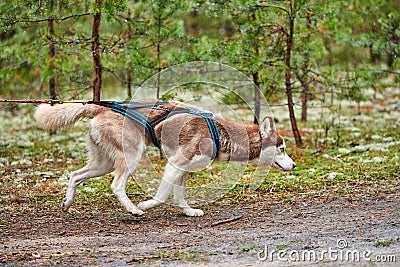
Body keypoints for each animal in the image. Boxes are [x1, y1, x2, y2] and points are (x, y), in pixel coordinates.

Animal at [36, 100, 296, 218]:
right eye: (282, 148)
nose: (294, 164)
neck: (220, 133)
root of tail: (99, 107)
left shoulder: (183, 170)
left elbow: (179, 196)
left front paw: (188, 212)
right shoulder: (175, 164)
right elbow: (161, 196)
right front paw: (145, 205)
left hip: (103, 163)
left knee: (75, 175)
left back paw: (67, 203)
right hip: (132, 155)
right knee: (116, 185)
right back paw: (134, 210)